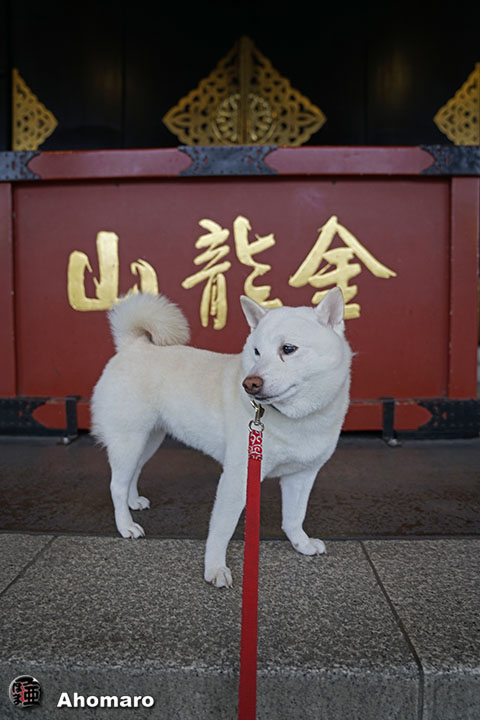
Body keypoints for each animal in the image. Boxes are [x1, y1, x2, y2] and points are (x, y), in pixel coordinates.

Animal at [91, 288, 352, 588]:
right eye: (256, 352)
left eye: (288, 349)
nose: (250, 384)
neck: (298, 420)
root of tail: (132, 345)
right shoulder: (238, 478)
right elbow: (222, 529)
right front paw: (215, 569)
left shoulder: (302, 475)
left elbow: (295, 517)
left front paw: (302, 544)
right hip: (128, 439)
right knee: (116, 485)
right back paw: (125, 525)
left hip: (148, 439)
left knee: (132, 474)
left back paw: (133, 502)